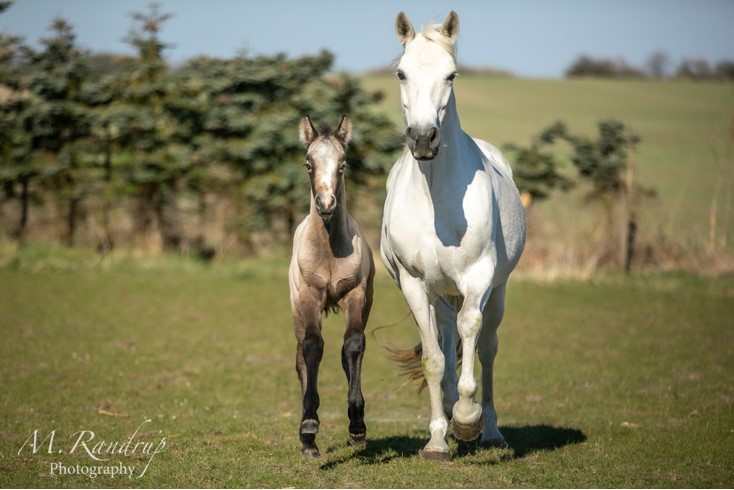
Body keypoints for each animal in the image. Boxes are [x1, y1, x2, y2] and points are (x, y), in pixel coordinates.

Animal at [380, 11, 528, 460]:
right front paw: (437, 439)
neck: (436, 200)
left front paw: (465, 418)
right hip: (439, 293)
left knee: (487, 346)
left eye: (452, 75)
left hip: (497, 291)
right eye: (401, 72)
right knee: (447, 337)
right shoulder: (414, 284)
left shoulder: (479, 277)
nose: (424, 138)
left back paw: (491, 430)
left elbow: (472, 335)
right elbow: (433, 358)